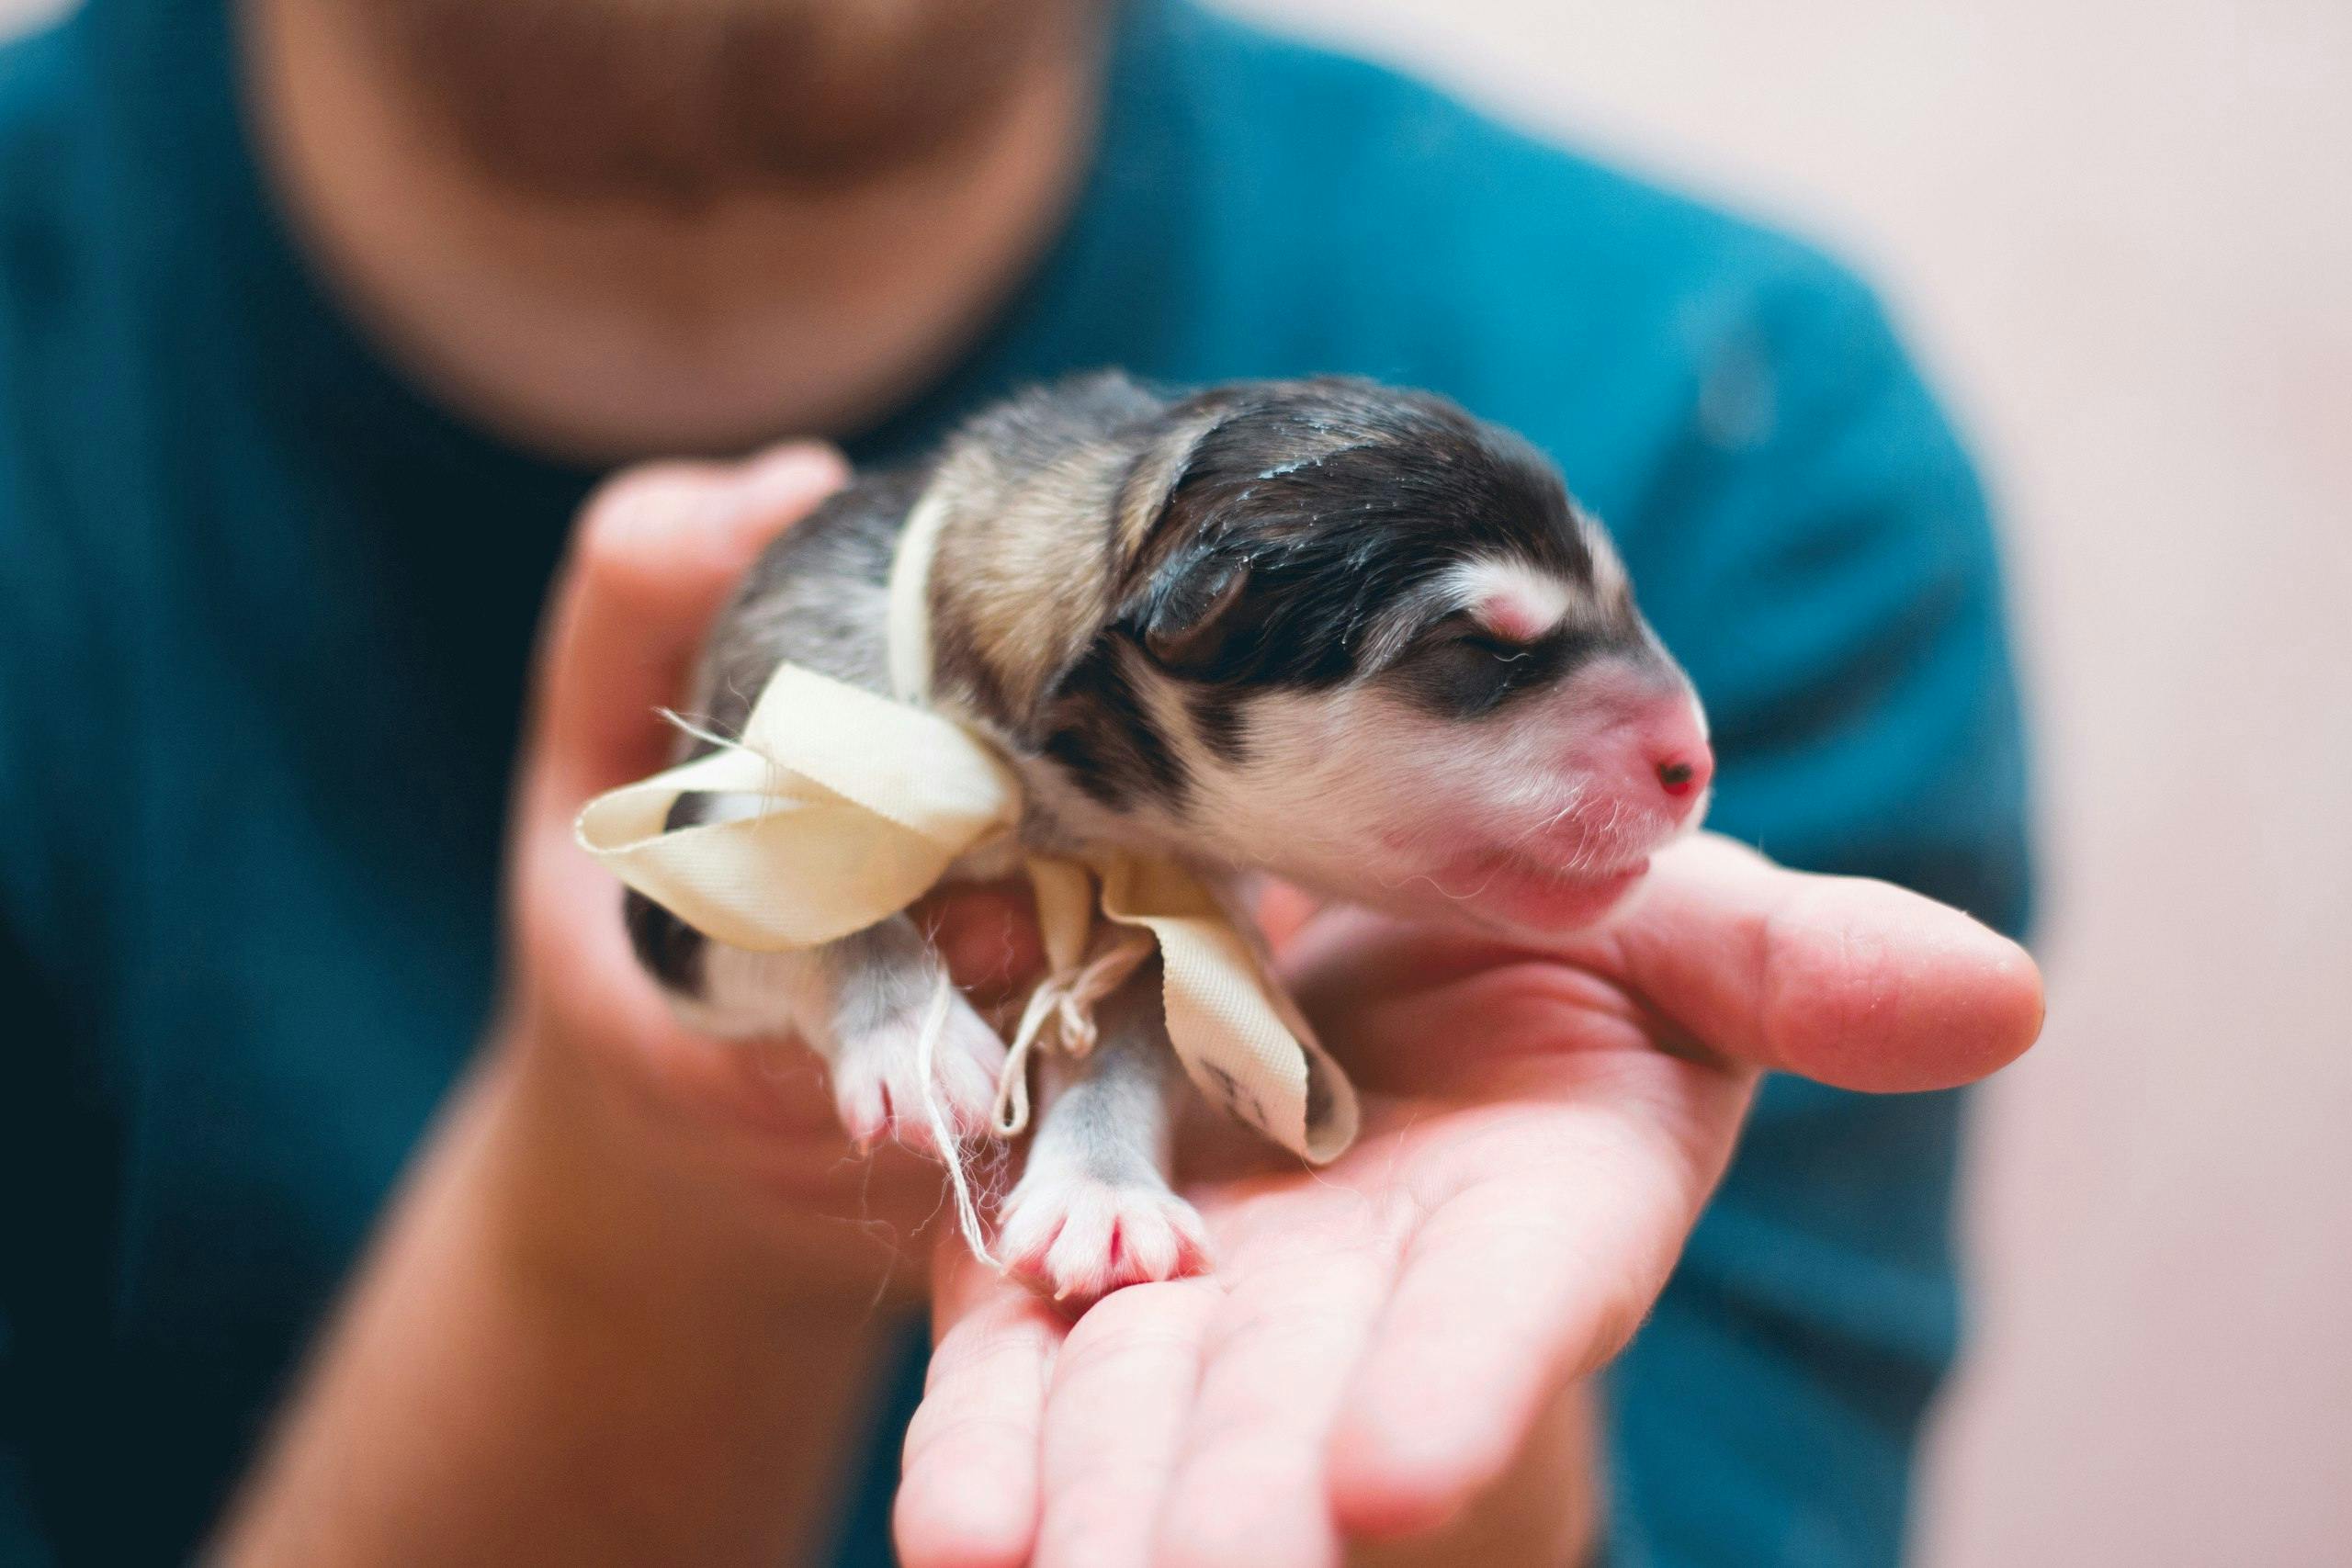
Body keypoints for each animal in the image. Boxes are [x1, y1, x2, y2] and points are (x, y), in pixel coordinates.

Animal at [620, 376, 1712, 1297]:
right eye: (1479, 647)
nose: (1695, 758)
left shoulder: (1162, 910)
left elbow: (1129, 1044)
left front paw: (1101, 1193)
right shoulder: (699, 836)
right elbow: (814, 905)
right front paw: (909, 1038)